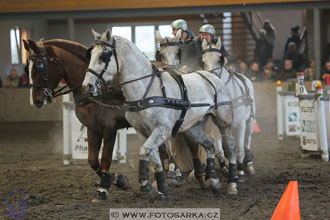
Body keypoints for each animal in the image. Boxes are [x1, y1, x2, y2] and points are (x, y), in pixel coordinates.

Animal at [23, 39, 135, 201]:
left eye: (40, 66)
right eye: (27, 68)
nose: (36, 101)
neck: (95, 91)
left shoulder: (110, 128)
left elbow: (106, 158)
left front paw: (103, 188)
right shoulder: (93, 128)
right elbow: (92, 160)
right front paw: (119, 180)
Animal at [82, 29, 237, 201]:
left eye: (104, 56)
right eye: (90, 54)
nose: (87, 85)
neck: (146, 90)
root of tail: (212, 76)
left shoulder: (162, 130)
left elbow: (145, 151)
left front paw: (149, 187)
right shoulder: (142, 132)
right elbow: (153, 158)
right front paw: (158, 189)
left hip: (224, 122)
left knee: (230, 148)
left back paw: (232, 184)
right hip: (192, 128)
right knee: (209, 143)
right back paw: (213, 181)